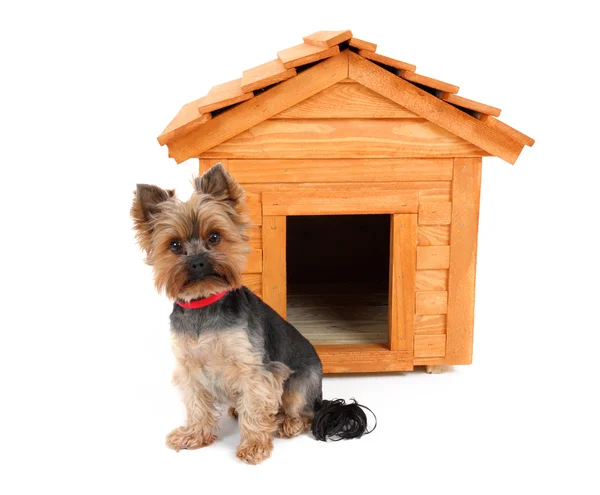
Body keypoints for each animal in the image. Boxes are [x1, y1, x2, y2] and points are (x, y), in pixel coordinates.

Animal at [134, 165, 372, 464]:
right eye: (174, 245)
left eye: (215, 237)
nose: (198, 262)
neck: (204, 304)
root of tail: (321, 398)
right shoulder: (190, 368)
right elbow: (197, 405)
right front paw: (194, 436)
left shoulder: (254, 369)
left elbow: (255, 407)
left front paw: (254, 446)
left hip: (299, 385)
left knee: (304, 412)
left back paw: (287, 422)